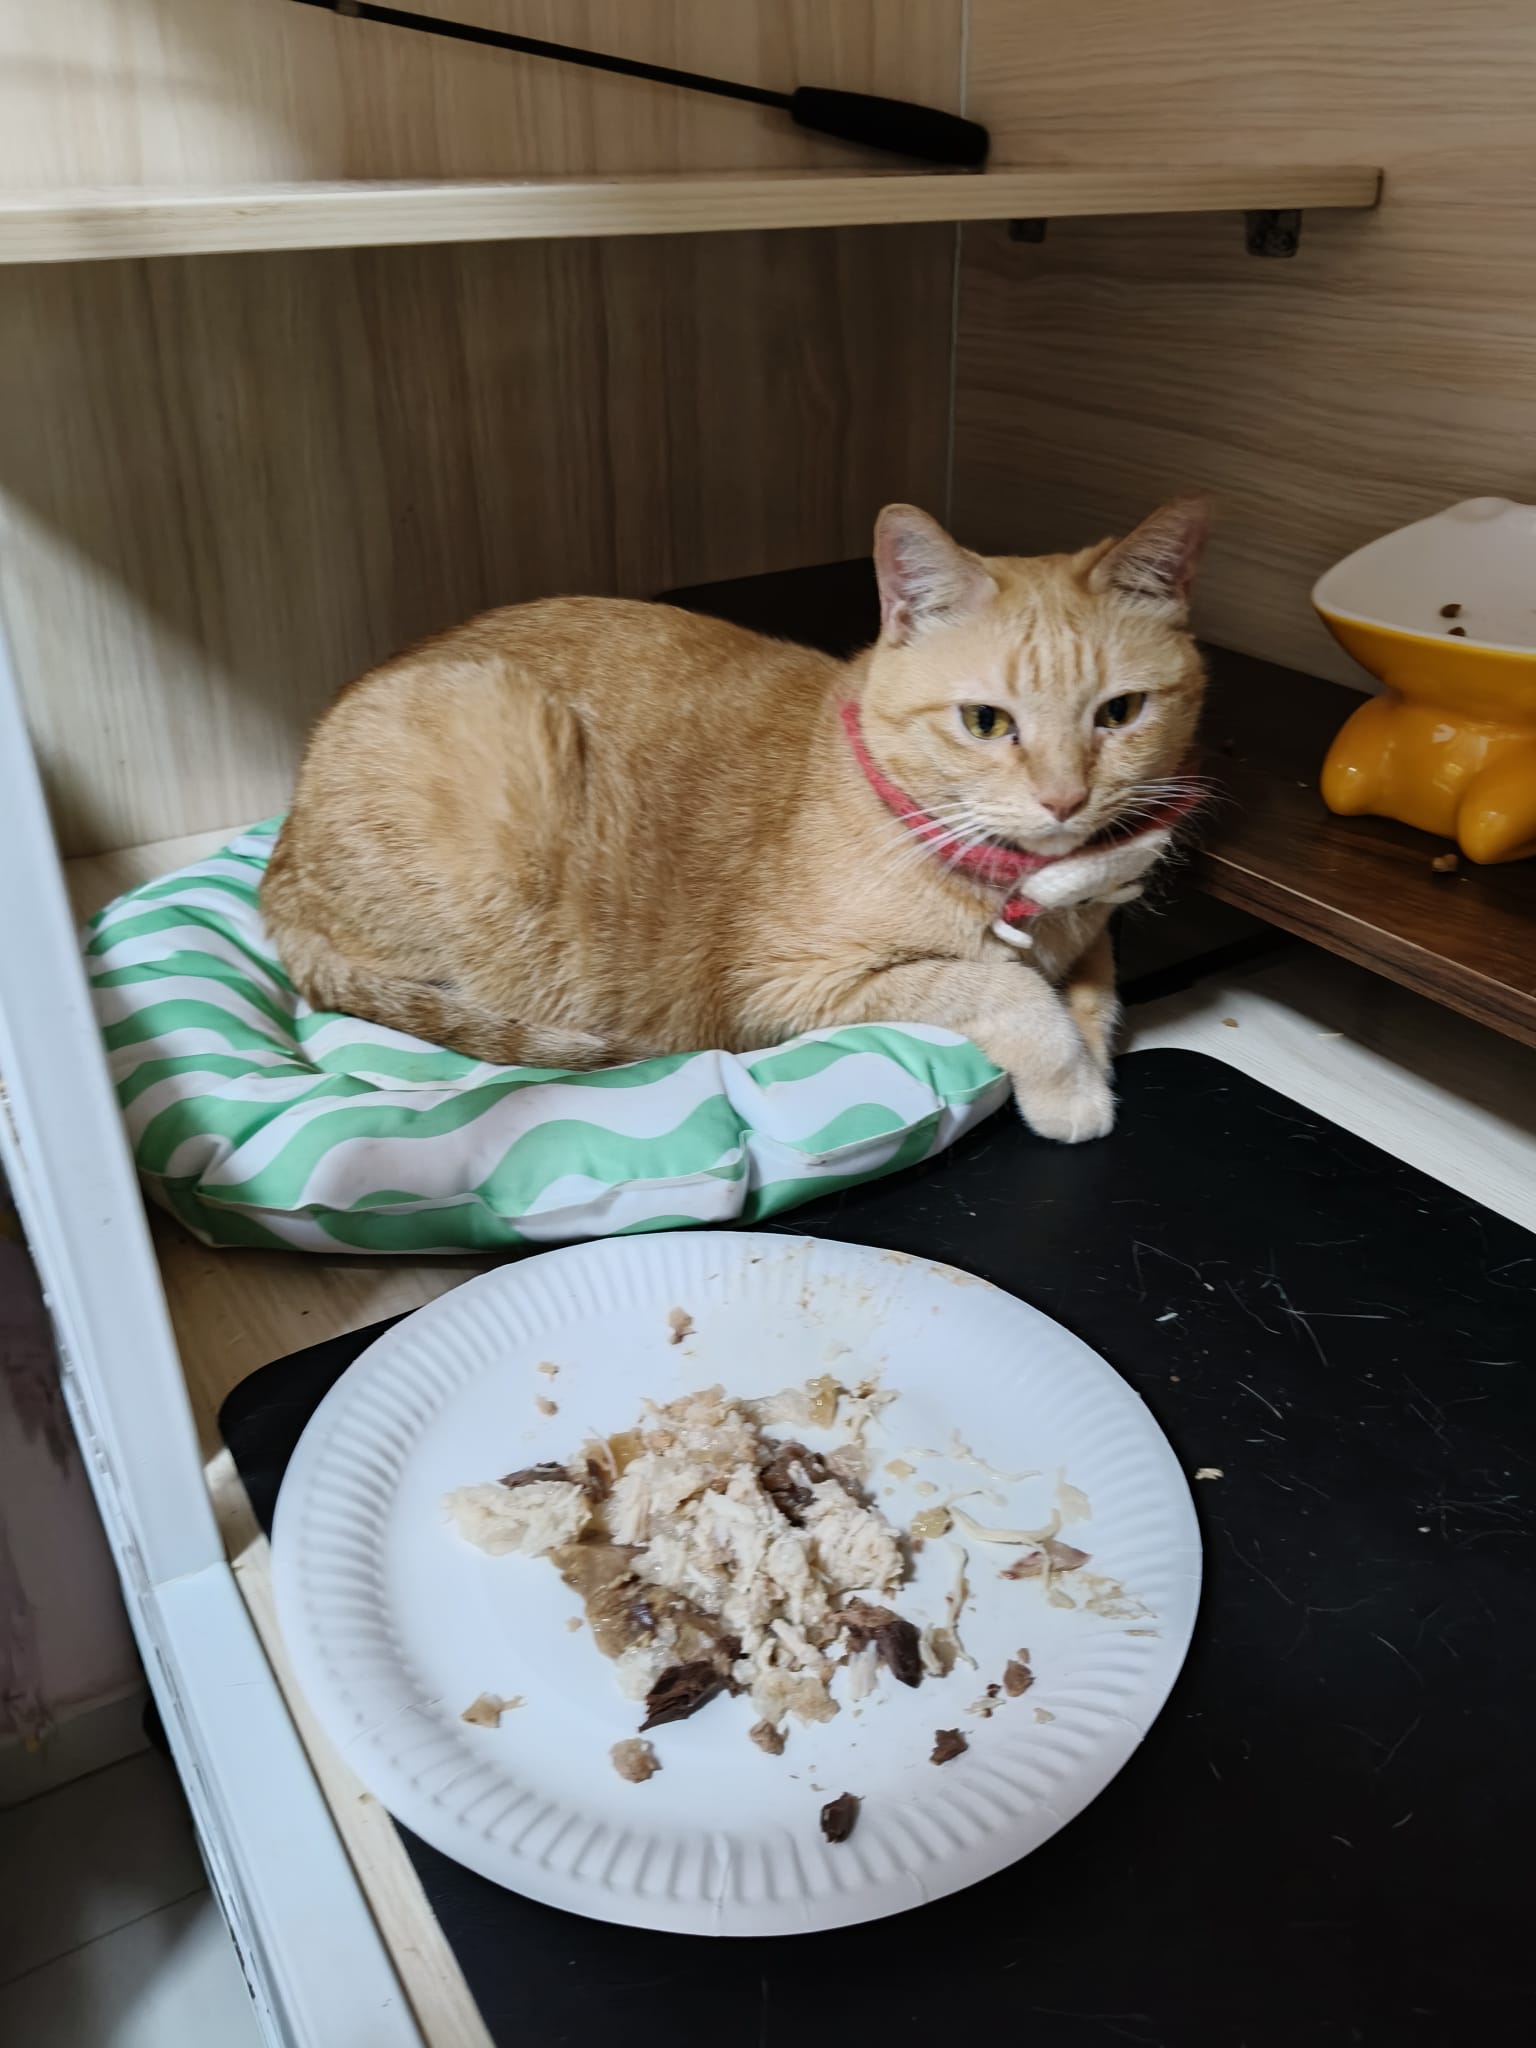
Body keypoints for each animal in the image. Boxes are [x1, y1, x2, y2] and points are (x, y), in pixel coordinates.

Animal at [262, 500, 1208, 1143]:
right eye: (985, 722)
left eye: (1120, 712)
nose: (1064, 799)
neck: (1031, 894)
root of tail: (280, 857)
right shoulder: (786, 985)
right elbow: (1007, 990)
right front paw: (1072, 1089)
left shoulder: (1090, 937)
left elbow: (1097, 993)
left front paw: (1092, 1049)